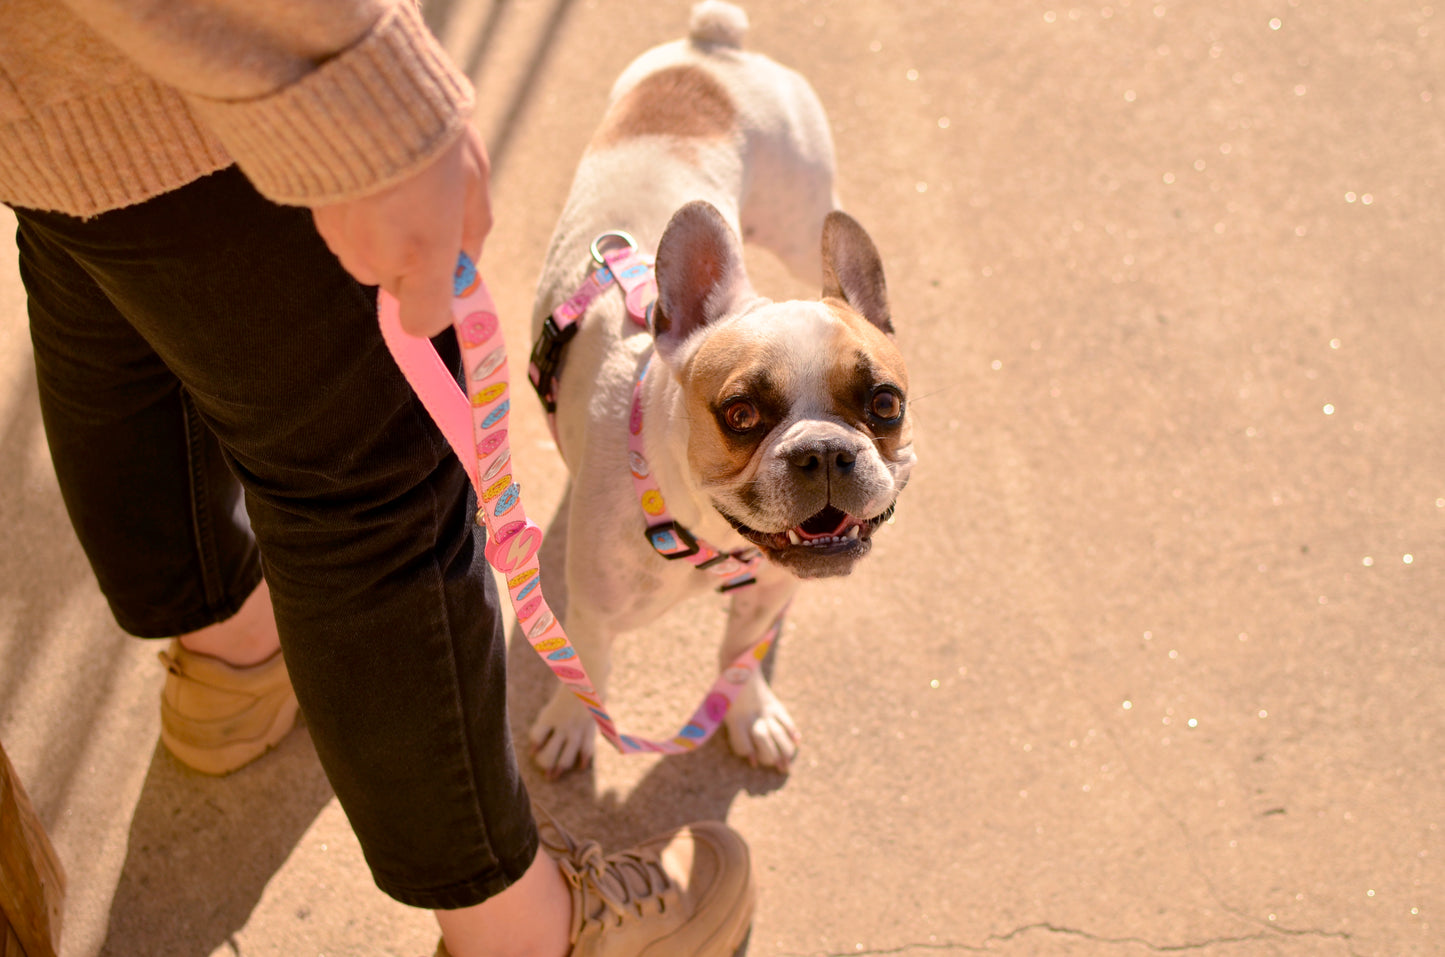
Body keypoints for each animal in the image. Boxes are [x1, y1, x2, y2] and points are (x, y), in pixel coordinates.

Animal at [531, 1, 913, 780]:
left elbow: (738, 652)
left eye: (885, 403)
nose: (826, 451)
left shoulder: (767, 593)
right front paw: (571, 723)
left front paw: (747, 710)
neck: (710, 537)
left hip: (803, 213)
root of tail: (711, 47)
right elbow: (588, 666)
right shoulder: (592, 610)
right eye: (739, 414)